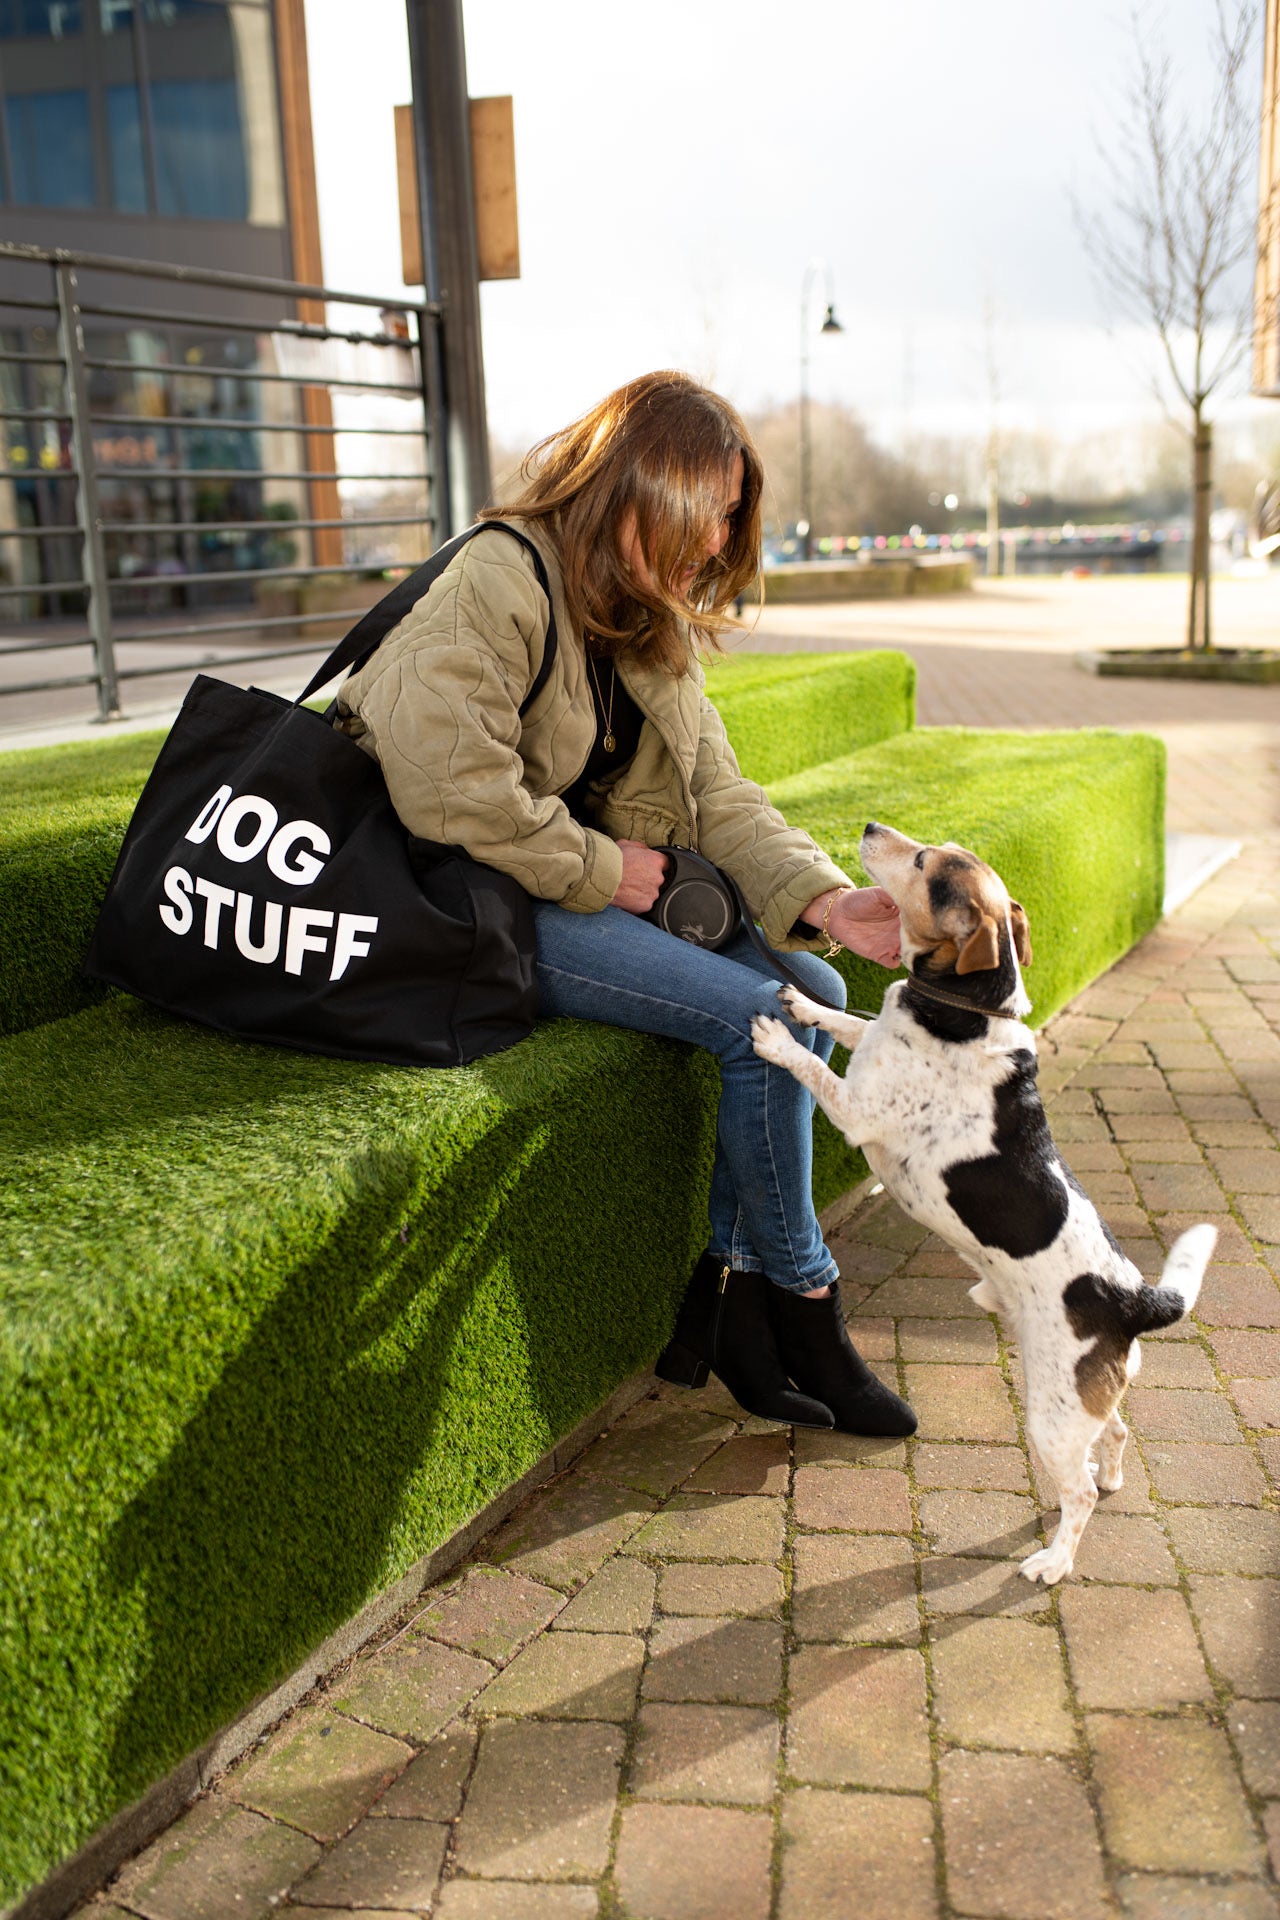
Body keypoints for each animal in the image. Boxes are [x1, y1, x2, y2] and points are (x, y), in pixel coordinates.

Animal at [756, 817, 1220, 1582]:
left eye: (922, 860)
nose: (870, 825)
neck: (971, 1006)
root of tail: (1137, 1300)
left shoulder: (854, 1109)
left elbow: (813, 1065)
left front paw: (774, 1036)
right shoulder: (872, 1042)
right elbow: (850, 1022)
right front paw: (800, 1003)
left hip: (1052, 1417)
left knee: (1077, 1493)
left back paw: (1054, 1562)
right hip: (1080, 1403)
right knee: (1117, 1435)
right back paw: (1115, 1478)